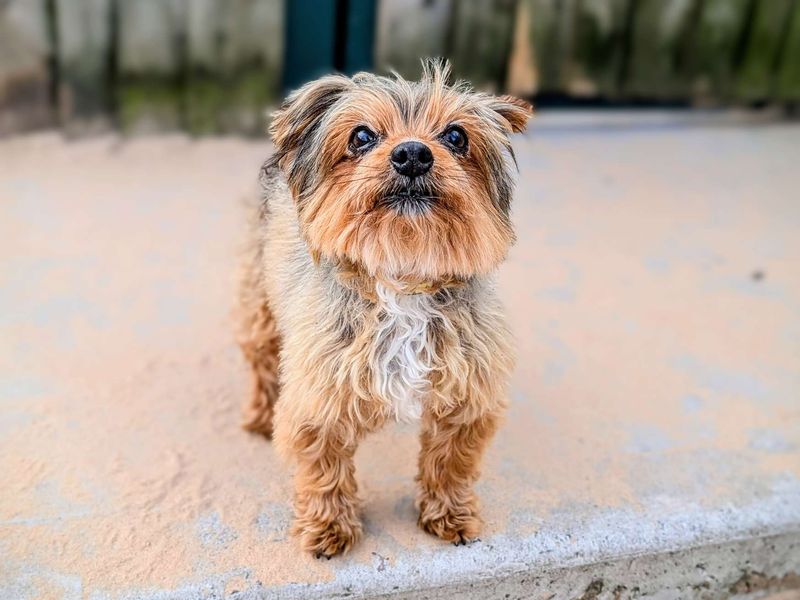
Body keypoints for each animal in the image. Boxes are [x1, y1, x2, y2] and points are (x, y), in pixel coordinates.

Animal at [238, 61, 536, 556]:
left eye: (456, 136)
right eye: (361, 136)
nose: (413, 154)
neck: (403, 278)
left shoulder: (467, 400)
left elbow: (450, 464)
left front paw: (449, 514)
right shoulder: (319, 399)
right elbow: (325, 470)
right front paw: (329, 527)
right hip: (258, 302)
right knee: (261, 361)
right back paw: (261, 415)